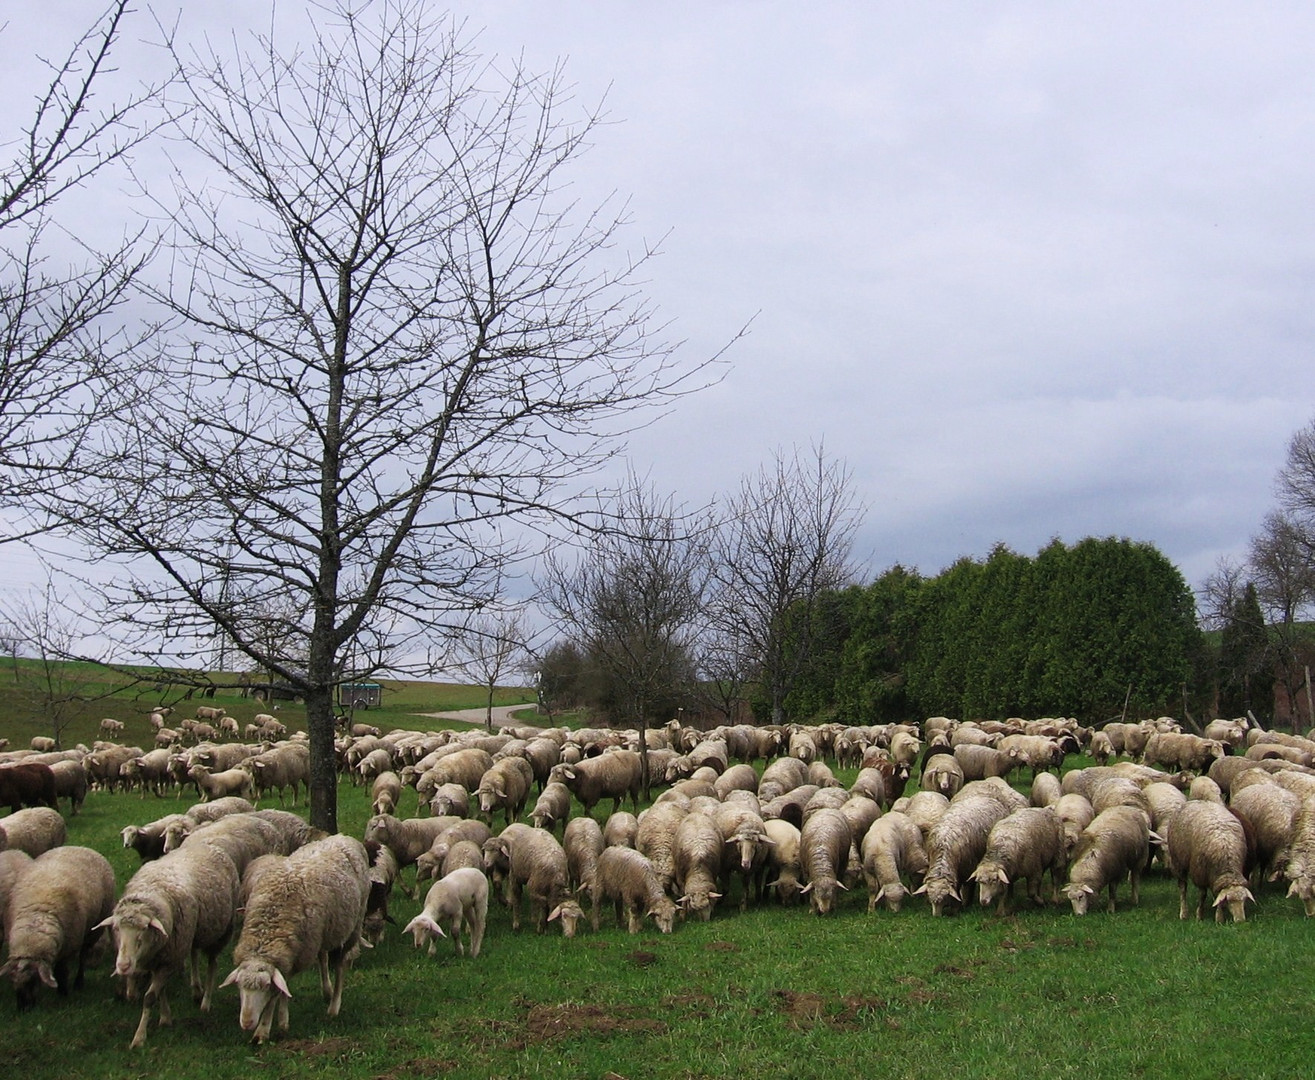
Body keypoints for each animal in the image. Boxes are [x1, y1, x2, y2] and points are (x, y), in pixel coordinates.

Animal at [0, 841, 115, 1010]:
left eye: (33, 980)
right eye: (13, 981)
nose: (23, 1009)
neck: (36, 917)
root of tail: (78, 847)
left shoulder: (68, 946)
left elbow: (62, 971)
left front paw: (63, 992)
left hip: (94, 928)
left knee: (83, 955)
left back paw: (79, 983)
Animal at [216, 831, 370, 1041]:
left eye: (265, 986)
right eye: (239, 986)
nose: (246, 1023)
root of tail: (343, 836)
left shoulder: (293, 953)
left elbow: (277, 992)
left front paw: (264, 1029)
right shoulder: (293, 950)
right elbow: (284, 986)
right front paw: (281, 1021)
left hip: (352, 926)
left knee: (340, 966)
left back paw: (334, 1006)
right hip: (320, 934)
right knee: (323, 958)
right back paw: (326, 991)